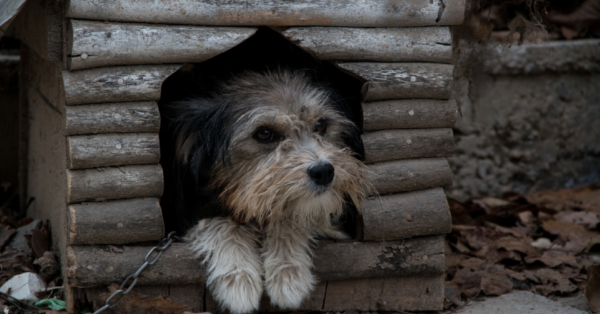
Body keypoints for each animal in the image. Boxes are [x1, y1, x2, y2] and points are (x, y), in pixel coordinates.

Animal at [162, 70, 372, 312]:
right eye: (264, 133)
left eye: (321, 125)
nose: (324, 171)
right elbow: (222, 223)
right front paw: (238, 276)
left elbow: (288, 219)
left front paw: (288, 272)